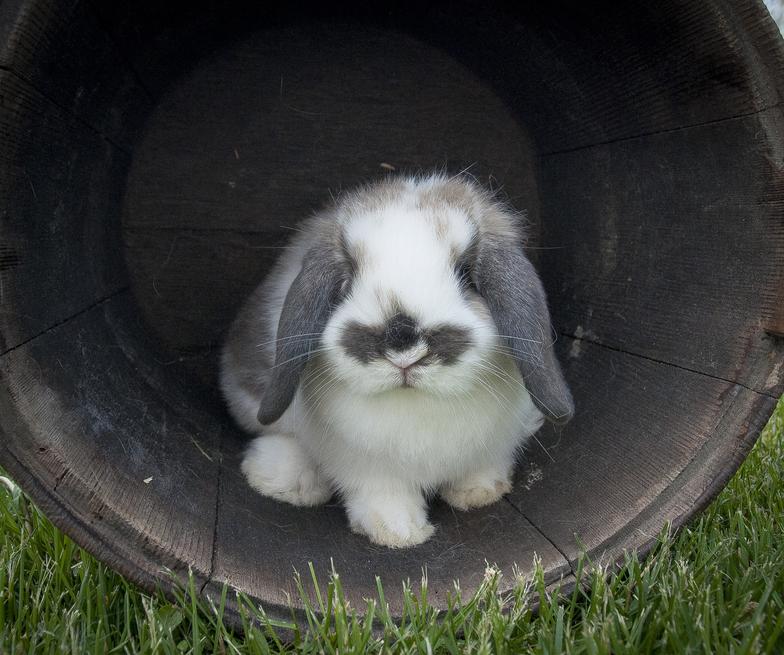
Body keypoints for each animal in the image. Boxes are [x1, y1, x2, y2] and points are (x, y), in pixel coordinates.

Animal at [220, 173, 576, 548]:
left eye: (466, 273)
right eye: (347, 277)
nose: (403, 346)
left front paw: (480, 491)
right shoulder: (365, 465)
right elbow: (381, 493)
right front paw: (398, 533)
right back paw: (285, 481)